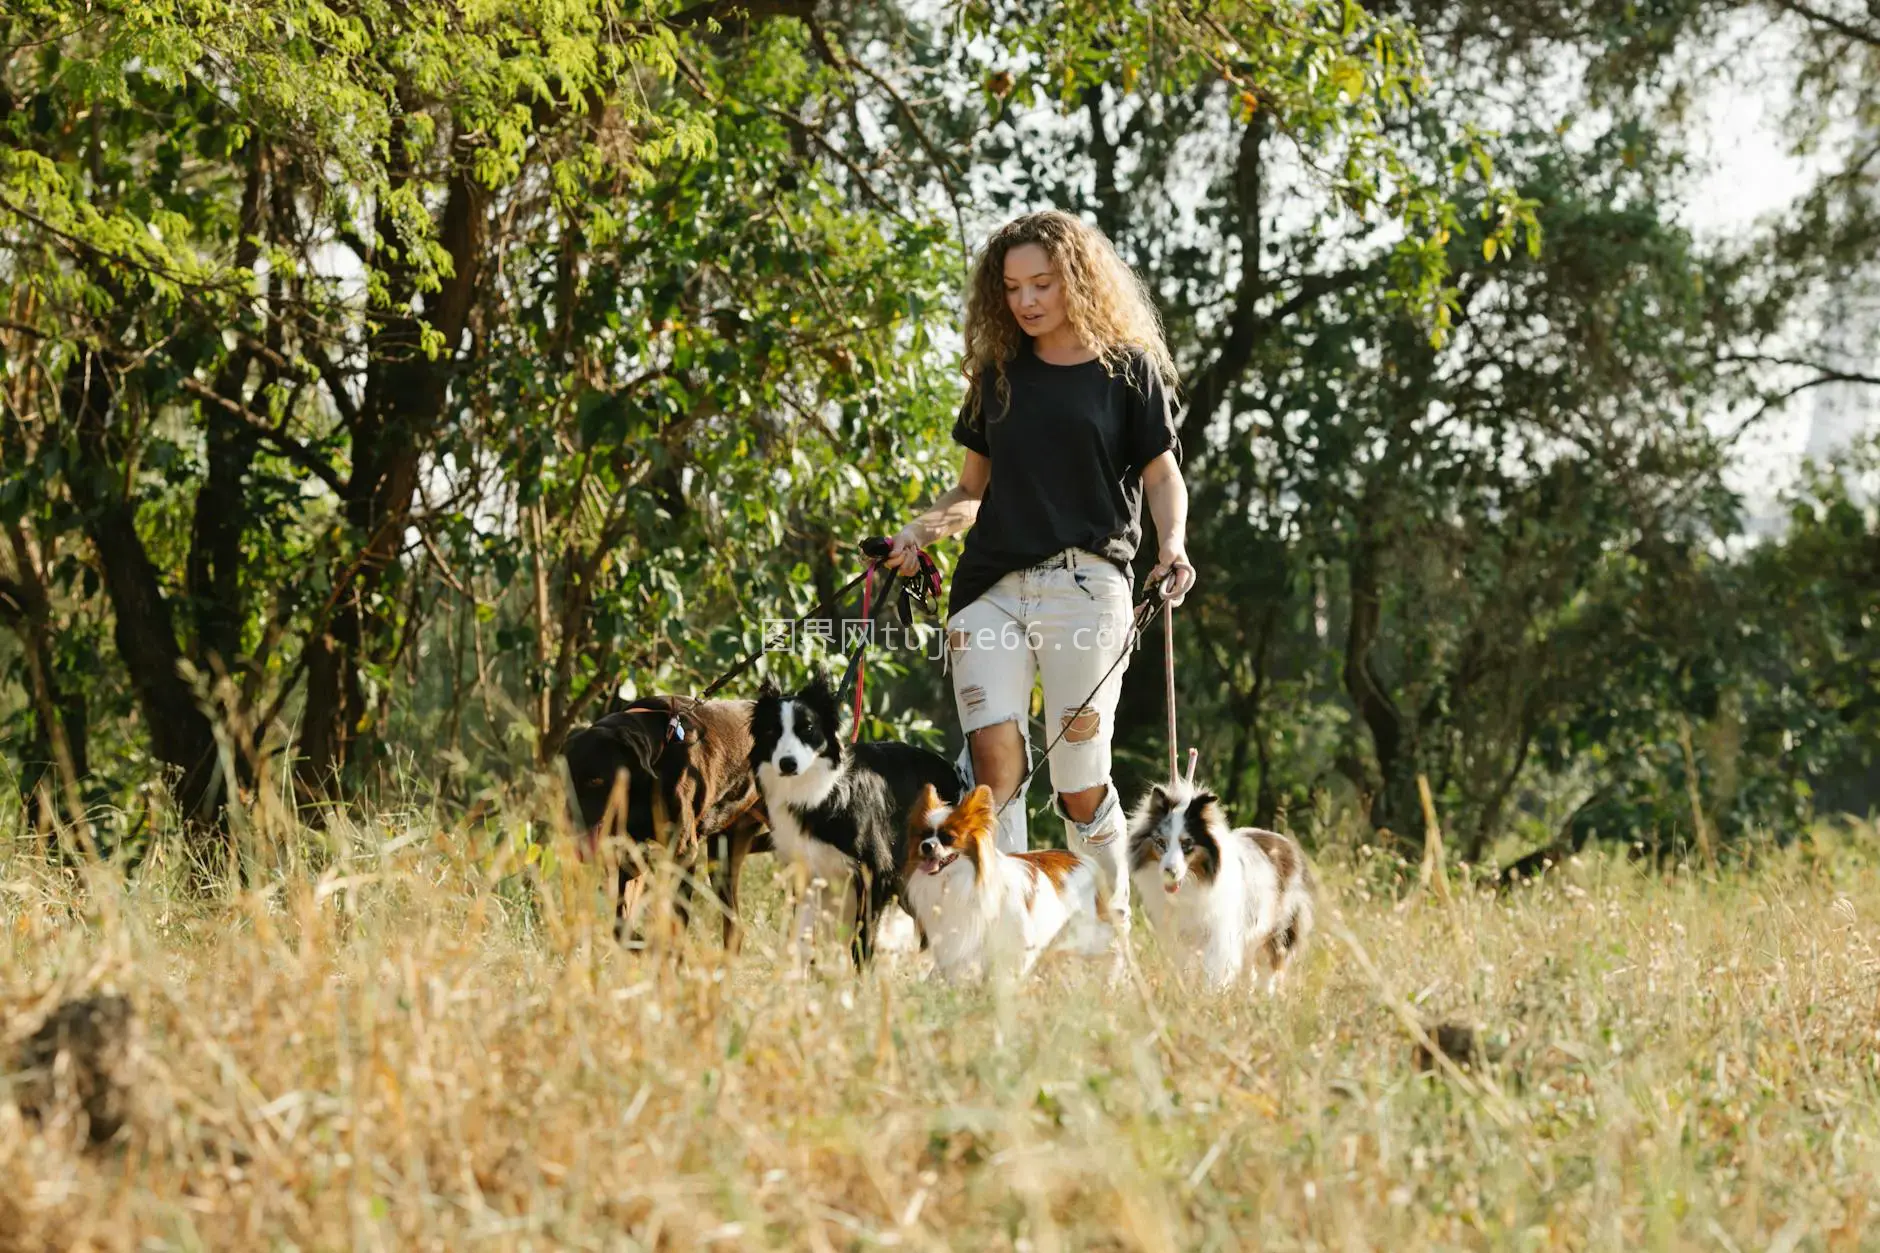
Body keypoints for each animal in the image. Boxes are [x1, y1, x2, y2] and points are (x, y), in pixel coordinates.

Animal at [556, 692, 770, 948]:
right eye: (566, 779)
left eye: (595, 781)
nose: (567, 827)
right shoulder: (632, 854)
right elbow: (621, 925)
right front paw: (639, 943)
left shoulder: (683, 852)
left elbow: (676, 922)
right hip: (723, 855)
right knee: (734, 925)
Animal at [744, 673, 962, 963]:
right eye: (771, 731)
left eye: (808, 729)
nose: (788, 764)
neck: (818, 794)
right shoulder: (807, 875)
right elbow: (800, 941)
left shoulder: (875, 874)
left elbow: (863, 942)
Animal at [1120, 775, 1316, 993]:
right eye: (1161, 842)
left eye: (1186, 844)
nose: (1169, 872)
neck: (1193, 883)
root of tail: (1287, 843)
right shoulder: (1181, 936)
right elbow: (1185, 968)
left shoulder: (1220, 933)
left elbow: (1214, 971)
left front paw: (1209, 996)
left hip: (1280, 927)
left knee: (1270, 967)